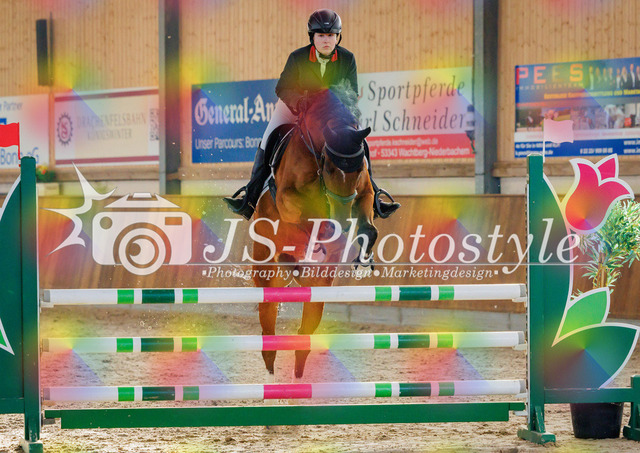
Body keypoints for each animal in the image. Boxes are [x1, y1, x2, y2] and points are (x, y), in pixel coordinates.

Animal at [253, 83, 378, 379]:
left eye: (359, 168)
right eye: (329, 167)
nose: (343, 220)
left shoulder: (364, 192)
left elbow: (369, 224)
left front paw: (362, 253)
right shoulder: (287, 197)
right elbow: (307, 215)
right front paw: (328, 235)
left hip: (319, 286)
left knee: (309, 315)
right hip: (264, 261)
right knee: (268, 308)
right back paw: (270, 358)